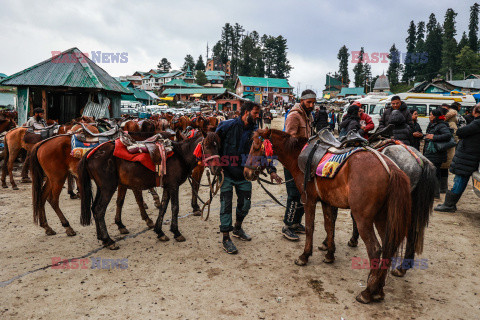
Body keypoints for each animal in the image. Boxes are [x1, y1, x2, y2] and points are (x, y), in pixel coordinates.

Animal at [78, 131, 222, 249]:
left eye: (218, 146)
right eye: (207, 146)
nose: (217, 169)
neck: (181, 156)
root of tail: (91, 152)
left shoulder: (167, 186)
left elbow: (163, 207)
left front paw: (160, 232)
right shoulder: (173, 185)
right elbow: (175, 207)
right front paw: (176, 232)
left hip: (101, 188)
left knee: (94, 208)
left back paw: (101, 238)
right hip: (108, 188)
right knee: (99, 210)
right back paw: (108, 240)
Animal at [244, 129, 412, 304]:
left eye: (255, 147)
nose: (246, 172)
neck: (298, 155)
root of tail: (391, 168)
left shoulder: (308, 199)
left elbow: (310, 227)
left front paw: (304, 256)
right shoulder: (326, 201)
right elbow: (329, 226)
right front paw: (330, 254)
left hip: (363, 219)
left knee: (375, 249)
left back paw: (368, 292)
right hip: (382, 217)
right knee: (388, 247)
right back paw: (378, 290)